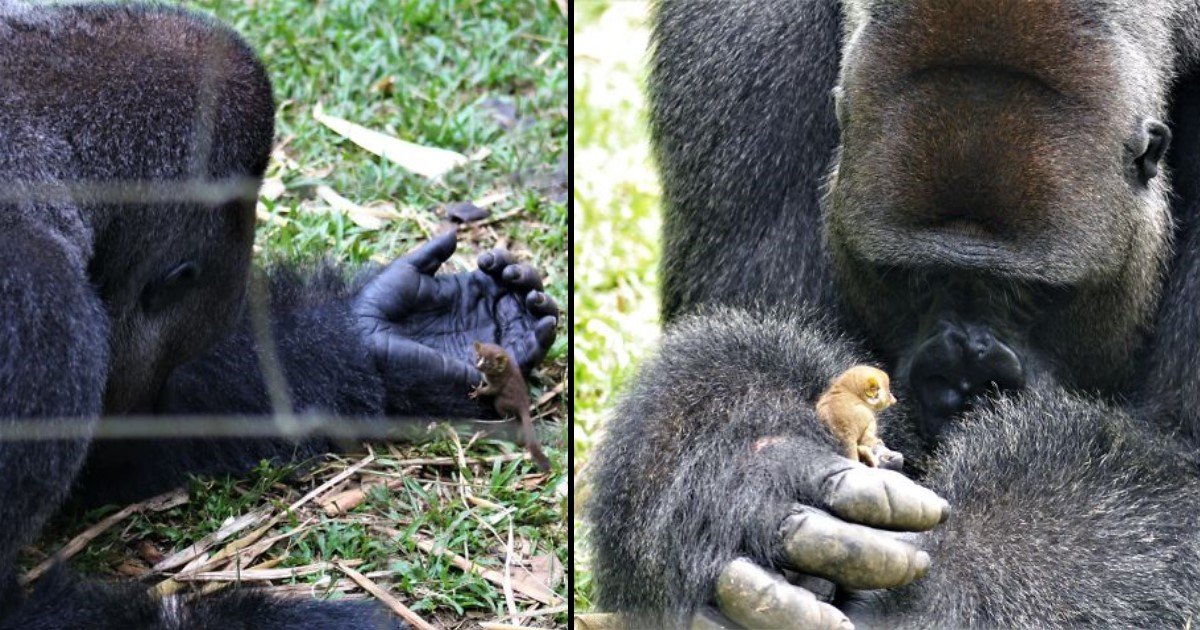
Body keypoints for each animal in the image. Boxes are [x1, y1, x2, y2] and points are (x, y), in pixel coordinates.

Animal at [590, 0, 1200, 624]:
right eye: (917, 279)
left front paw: (945, 585)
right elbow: (743, 328)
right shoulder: (735, 35)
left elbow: (1181, 464)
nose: (963, 382)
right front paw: (749, 459)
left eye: (1027, 293)